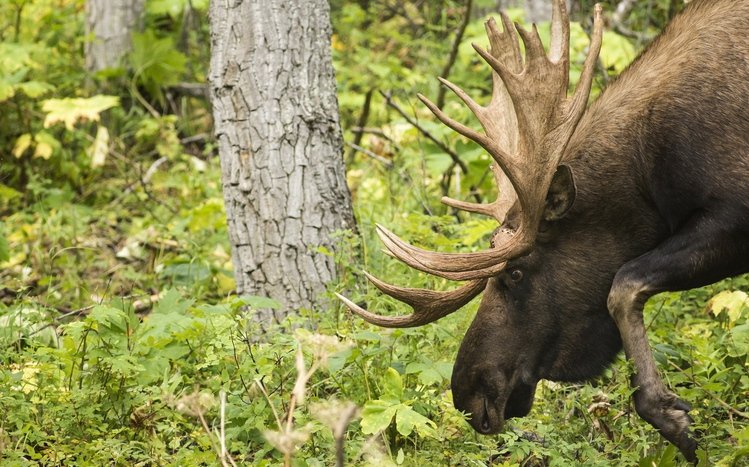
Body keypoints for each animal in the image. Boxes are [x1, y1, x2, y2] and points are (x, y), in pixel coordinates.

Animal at [336, 0, 749, 462]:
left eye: (514, 272)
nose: (469, 393)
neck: (650, 176)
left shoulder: (734, 214)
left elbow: (624, 283)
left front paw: (671, 415)